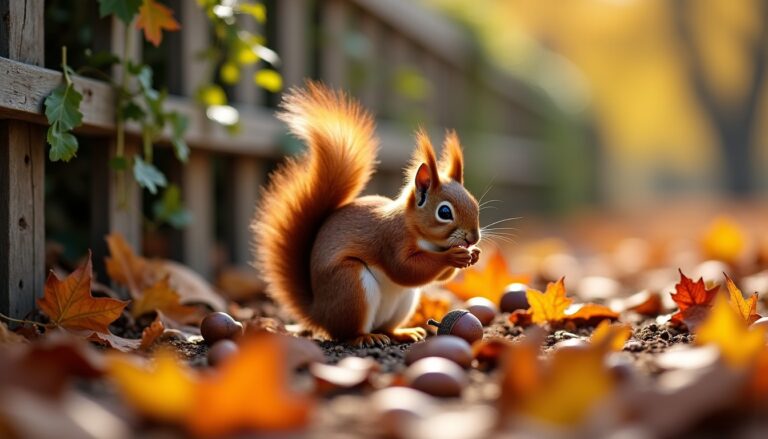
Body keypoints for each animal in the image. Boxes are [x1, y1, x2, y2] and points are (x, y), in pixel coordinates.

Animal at [252, 82, 481, 347]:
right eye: (444, 212)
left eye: (474, 202)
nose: (474, 238)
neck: (425, 238)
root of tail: (319, 313)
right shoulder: (390, 239)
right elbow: (406, 269)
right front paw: (452, 257)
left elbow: (437, 277)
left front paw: (473, 255)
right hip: (350, 284)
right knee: (347, 332)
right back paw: (366, 337)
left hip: (403, 302)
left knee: (387, 326)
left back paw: (402, 333)